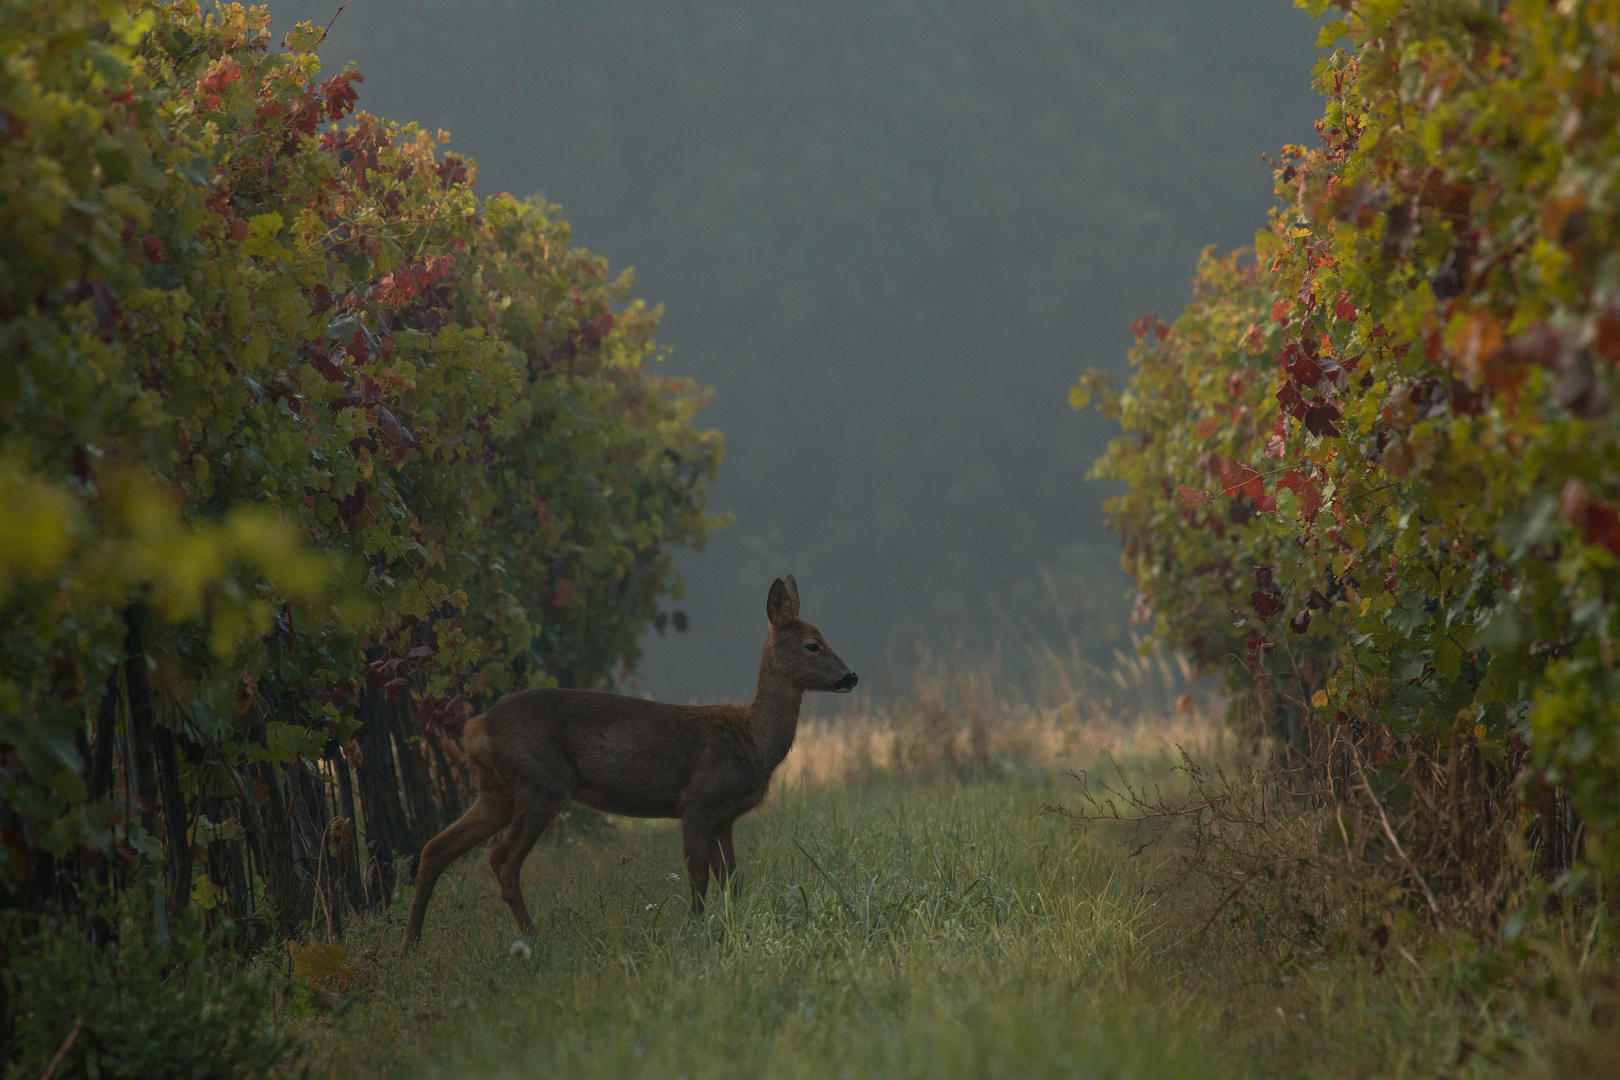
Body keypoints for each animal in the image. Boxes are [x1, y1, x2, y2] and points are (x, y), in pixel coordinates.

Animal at [403, 573, 855, 945]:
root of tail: (475, 729)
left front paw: (732, 922)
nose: (851, 676)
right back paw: (532, 938)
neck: (753, 742)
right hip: (543, 781)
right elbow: (698, 875)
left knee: (436, 846)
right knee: (501, 859)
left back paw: (411, 944)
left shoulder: (724, 816)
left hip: (497, 790)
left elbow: (732, 879)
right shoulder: (698, 799)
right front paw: (696, 928)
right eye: (813, 645)